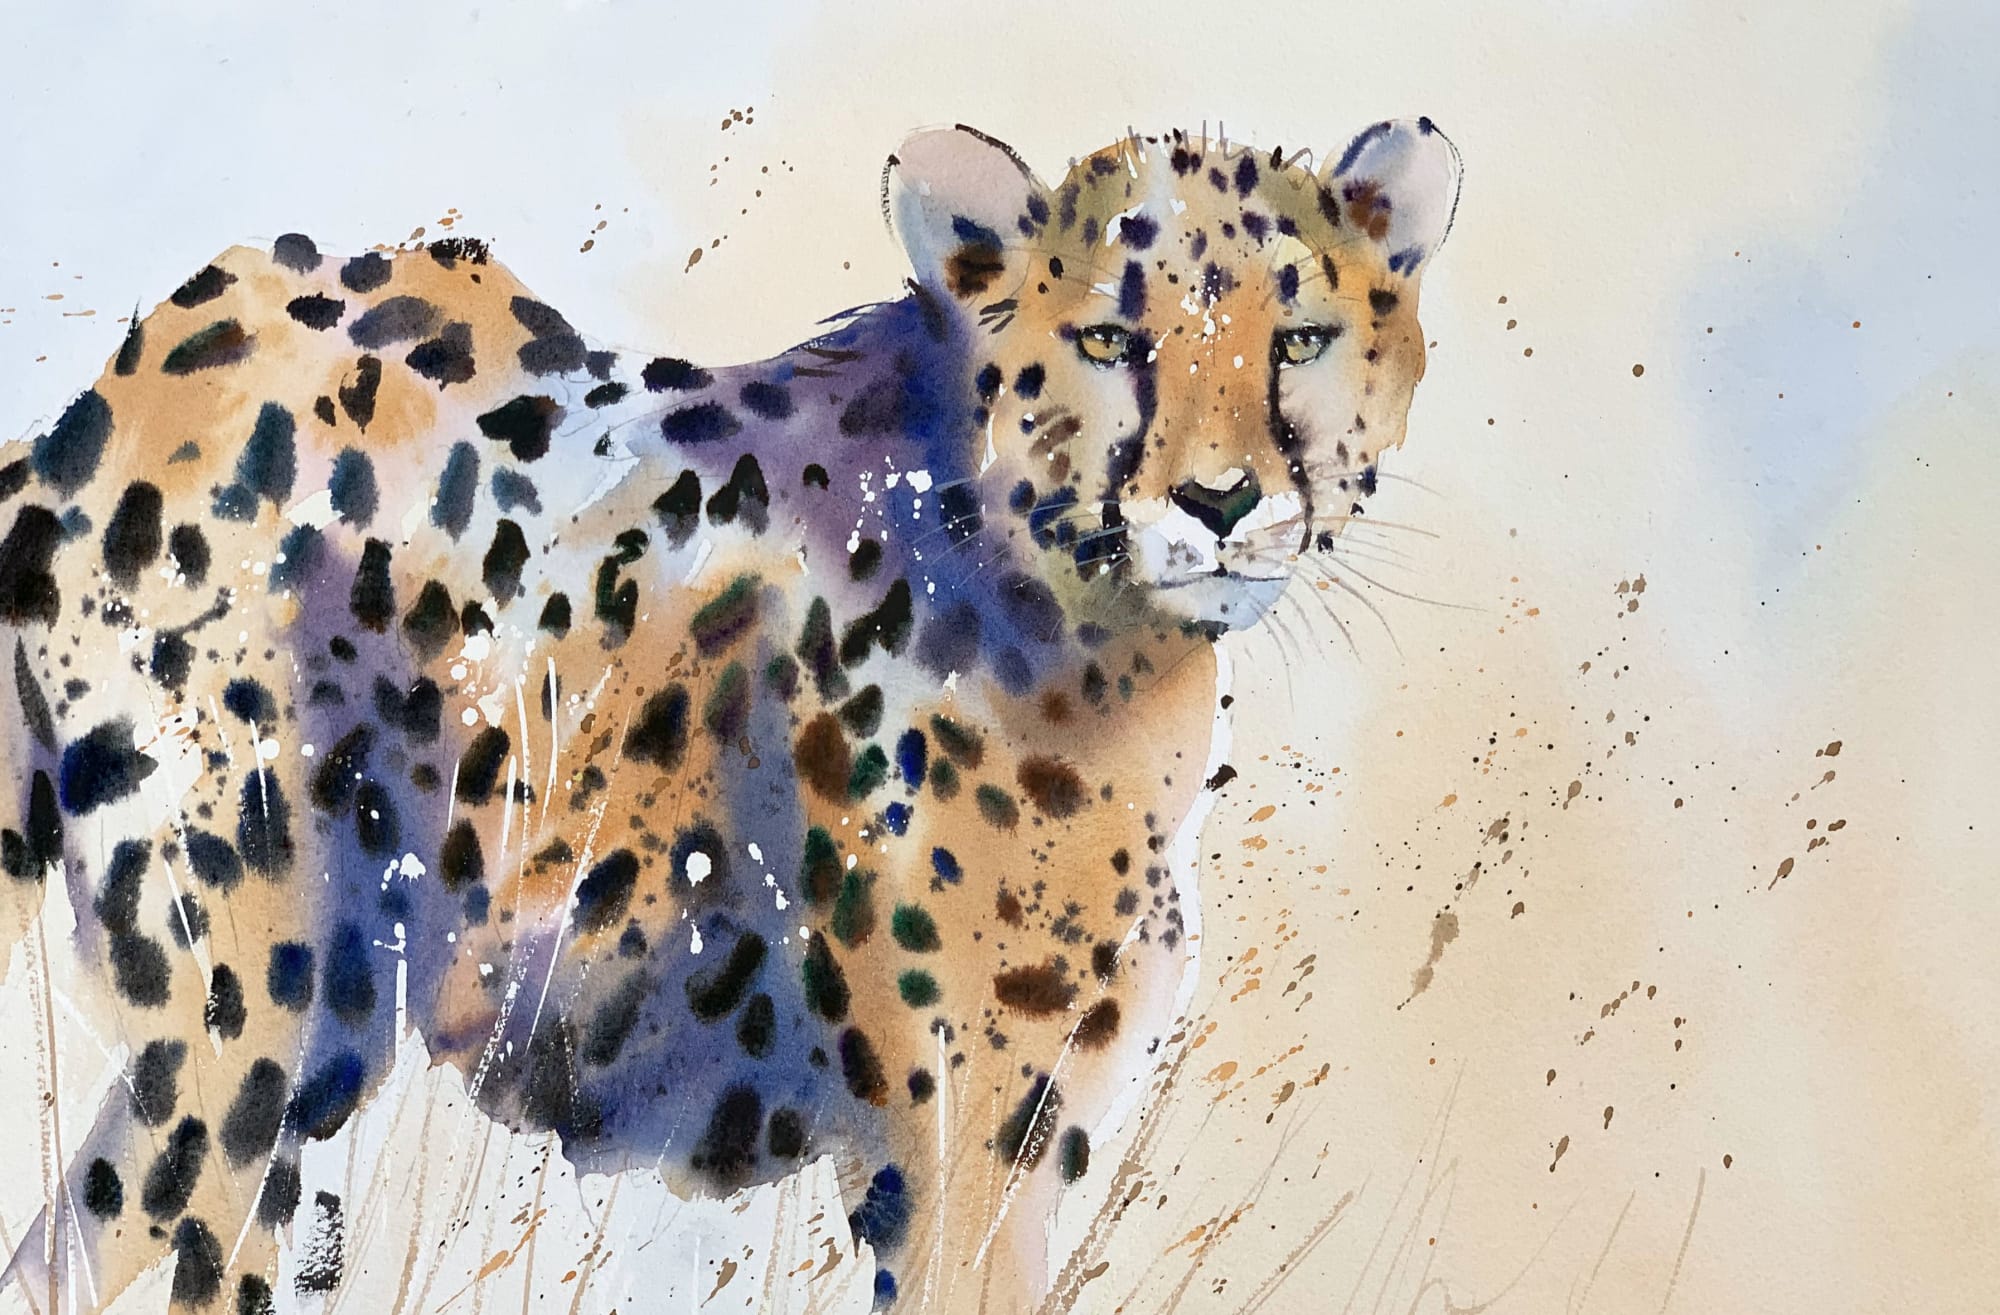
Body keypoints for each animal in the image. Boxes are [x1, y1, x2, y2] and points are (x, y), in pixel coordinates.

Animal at [0, 116, 1458, 1313]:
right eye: (1111, 339)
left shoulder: (1027, 1135)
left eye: (1301, 340)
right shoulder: (939, 1145)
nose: (1219, 501)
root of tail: (123, 381)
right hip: (252, 1025)